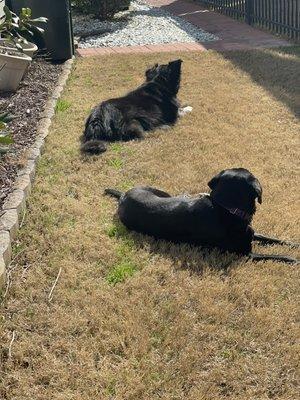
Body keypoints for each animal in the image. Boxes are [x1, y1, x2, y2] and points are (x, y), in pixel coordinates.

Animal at [105, 168, 298, 264]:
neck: (225, 208)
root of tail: (123, 195)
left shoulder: (252, 233)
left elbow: (272, 238)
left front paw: (294, 244)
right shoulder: (246, 254)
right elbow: (276, 256)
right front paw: (293, 259)